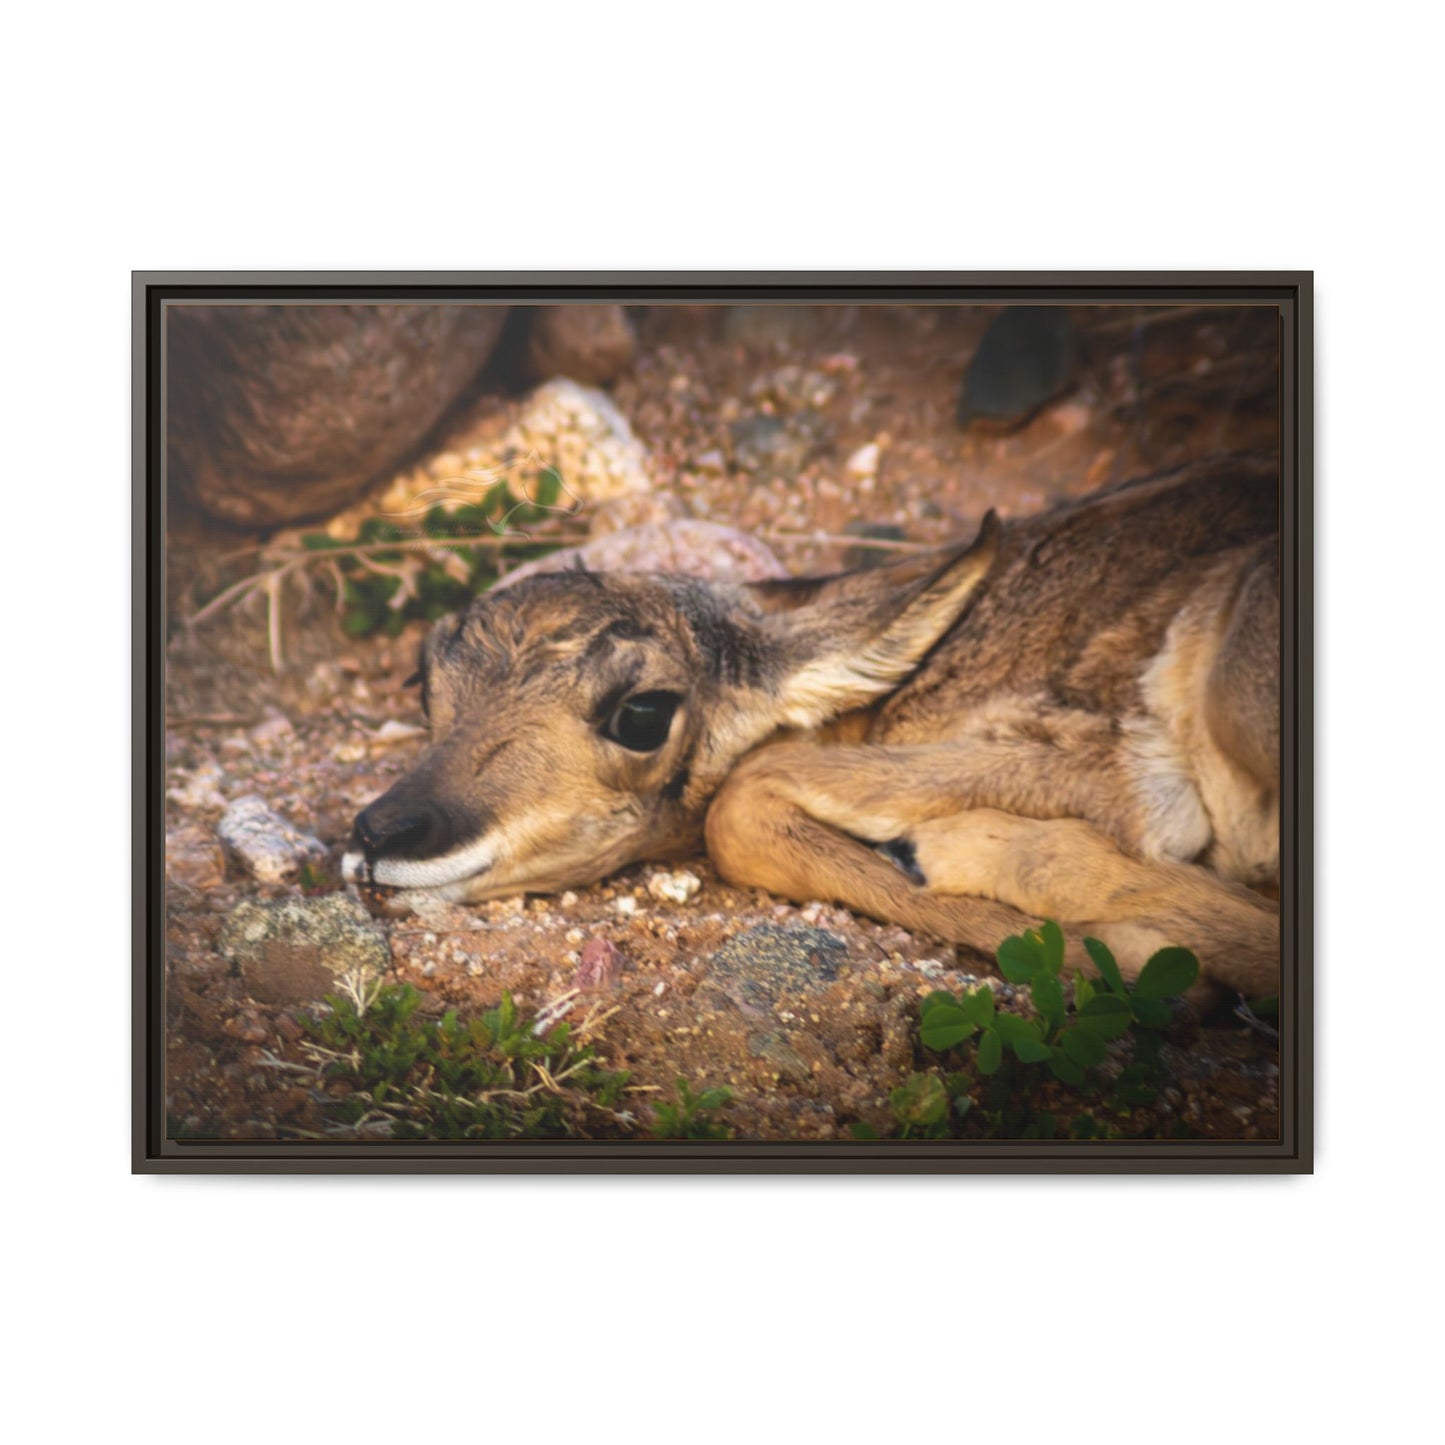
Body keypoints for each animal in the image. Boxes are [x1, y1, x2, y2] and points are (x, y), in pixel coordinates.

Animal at [342, 452, 1281, 1000]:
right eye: (427, 678)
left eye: (641, 712)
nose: (380, 833)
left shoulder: (1124, 776)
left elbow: (741, 801)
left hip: (1237, 692)